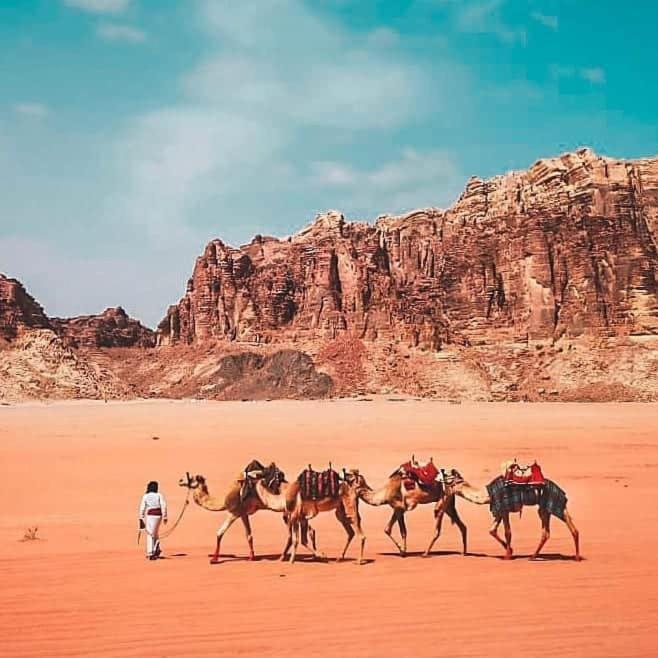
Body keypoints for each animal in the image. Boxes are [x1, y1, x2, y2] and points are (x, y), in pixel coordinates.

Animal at [179, 462, 318, 564]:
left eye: (190, 478)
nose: (180, 480)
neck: (223, 499)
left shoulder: (236, 512)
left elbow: (224, 533)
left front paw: (215, 559)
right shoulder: (241, 513)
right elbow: (242, 534)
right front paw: (250, 556)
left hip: (289, 511)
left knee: (297, 533)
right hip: (292, 512)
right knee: (309, 530)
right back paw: (308, 555)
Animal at [446, 466, 580, 560]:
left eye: (448, 478)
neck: (488, 494)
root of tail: (561, 491)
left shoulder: (504, 508)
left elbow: (507, 532)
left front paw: (507, 556)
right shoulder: (499, 509)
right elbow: (492, 530)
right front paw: (510, 550)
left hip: (549, 505)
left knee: (564, 525)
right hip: (545, 509)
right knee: (551, 531)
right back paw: (535, 556)